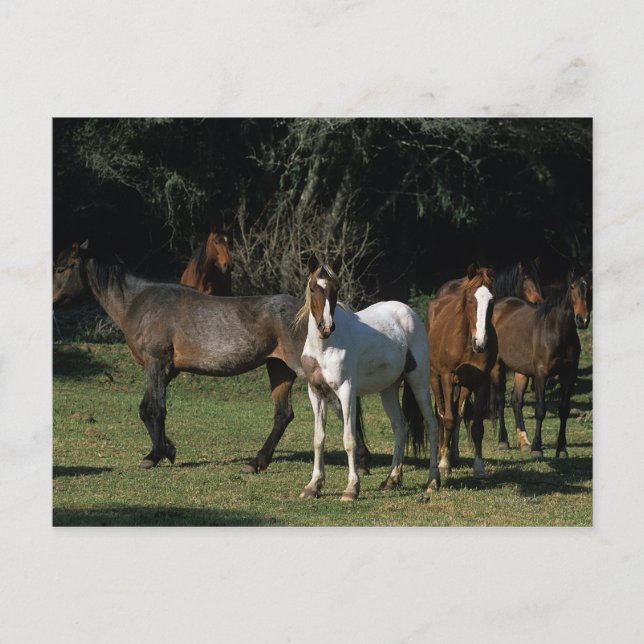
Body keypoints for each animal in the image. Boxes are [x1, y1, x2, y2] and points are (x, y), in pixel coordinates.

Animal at [53, 241, 370, 473]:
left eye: (62, 267)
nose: (52, 301)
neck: (140, 303)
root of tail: (317, 318)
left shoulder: (156, 364)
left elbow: (154, 410)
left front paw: (159, 454)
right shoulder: (165, 370)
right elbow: (147, 409)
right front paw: (162, 450)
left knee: (340, 407)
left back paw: (362, 464)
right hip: (279, 369)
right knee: (283, 415)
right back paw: (257, 462)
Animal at [297, 254, 440, 502]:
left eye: (335, 289)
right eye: (314, 288)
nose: (326, 327)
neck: (325, 347)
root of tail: (409, 312)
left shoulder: (346, 392)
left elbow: (349, 440)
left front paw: (351, 488)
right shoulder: (316, 392)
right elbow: (318, 439)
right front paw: (313, 486)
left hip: (419, 381)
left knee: (431, 425)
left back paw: (432, 482)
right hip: (389, 389)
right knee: (400, 426)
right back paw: (391, 479)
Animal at [427, 264, 497, 478]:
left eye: (492, 300)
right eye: (470, 300)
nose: (481, 342)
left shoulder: (481, 381)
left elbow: (476, 427)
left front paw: (479, 467)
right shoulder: (447, 377)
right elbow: (448, 419)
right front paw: (443, 463)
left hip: (465, 385)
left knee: (459, 412)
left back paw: (453, 454)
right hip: (435, 378)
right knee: (441, 414)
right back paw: (442, 454)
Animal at [490, 265, 592, 457]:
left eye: (590, 287)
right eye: (572, 287)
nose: (582, 320)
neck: (556, 330)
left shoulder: (569, 376)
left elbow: (564, 410)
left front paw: (561, 449)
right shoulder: (541, 375)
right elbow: (540, 410)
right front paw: (537, 448)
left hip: (521, 370)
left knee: (516, 400)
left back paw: (524, 442)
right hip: (497, 367)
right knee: (500, 400)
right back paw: (503, 441)